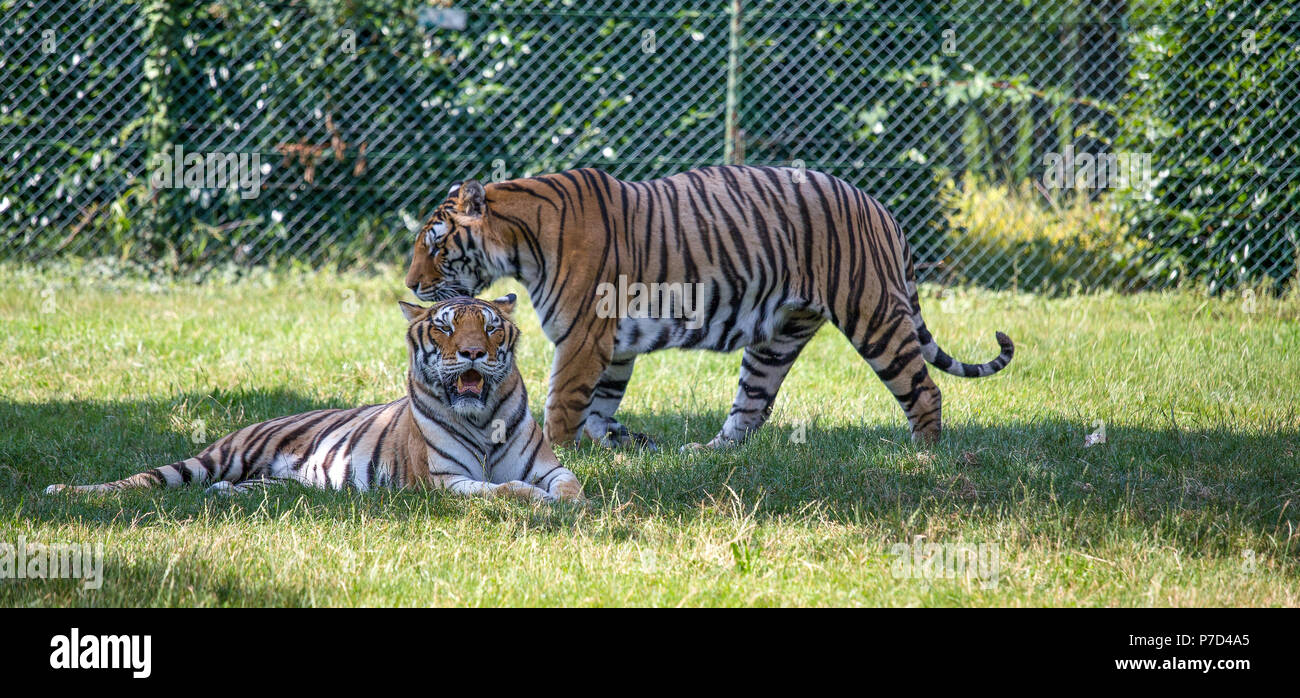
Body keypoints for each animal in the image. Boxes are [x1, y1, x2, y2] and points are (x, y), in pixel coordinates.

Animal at [44, 293, 585, 501]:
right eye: (445, 328)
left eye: (491, 329)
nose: (473, 352)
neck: (482, 417)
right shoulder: (445, 480)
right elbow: (506, 489)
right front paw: (537, 503)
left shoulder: (548, 465)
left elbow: (570, 484)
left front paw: (569, 504)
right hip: (212, 459)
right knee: (144, 479)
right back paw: (64, 492)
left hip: (281, 482)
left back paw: (228, 496)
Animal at [405, 164, 1013, 447]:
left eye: (434, 246)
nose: (410, 286)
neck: (520, 240)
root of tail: (881, 208)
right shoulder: (613, 346)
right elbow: (599, 404)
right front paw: (609, 443)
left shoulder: (583, 335)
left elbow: (564, 402)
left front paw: (559, 451)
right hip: (778, 337)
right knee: (752, 406)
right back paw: (708, 451)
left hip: (873, 313)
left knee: (923, 388)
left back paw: (921, 458)